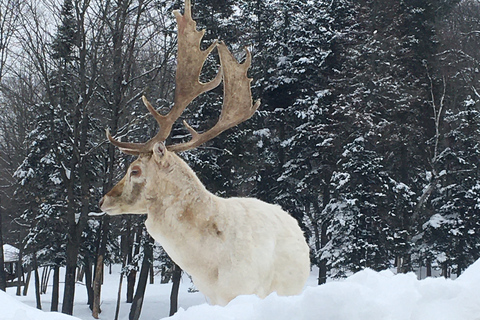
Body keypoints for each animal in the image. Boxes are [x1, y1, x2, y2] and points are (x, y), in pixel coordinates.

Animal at [100, 0, 312, 306]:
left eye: (135, 170)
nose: (104, 199)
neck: (209, 265)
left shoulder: (246, 290)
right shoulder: (212, 298)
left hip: (289, 289)